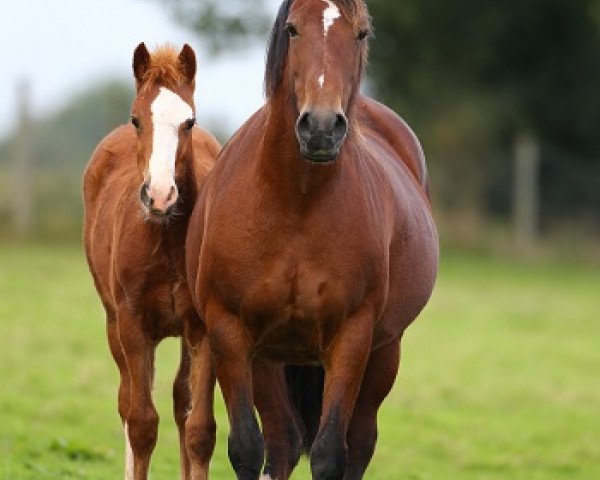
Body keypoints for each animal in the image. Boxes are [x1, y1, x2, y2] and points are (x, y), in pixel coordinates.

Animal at [81, 43, 219, 478]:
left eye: (189, 121)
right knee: (127, 402)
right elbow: (141, 423)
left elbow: (199, 429)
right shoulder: (133, 323)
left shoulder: (203, 329)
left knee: (179, 402)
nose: (160, 196)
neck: (167, 242)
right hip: (114, 322)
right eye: (136, 119)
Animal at [185, 0, 438, 478]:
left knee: (360, 441)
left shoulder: (352, 338)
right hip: (269, 357)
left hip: (384, 353)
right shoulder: (230, 331)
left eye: (360, 33)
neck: (296, 201)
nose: (321, 127)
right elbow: (247, 447)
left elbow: (329, 453)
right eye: (292, 29)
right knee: (282, 437)